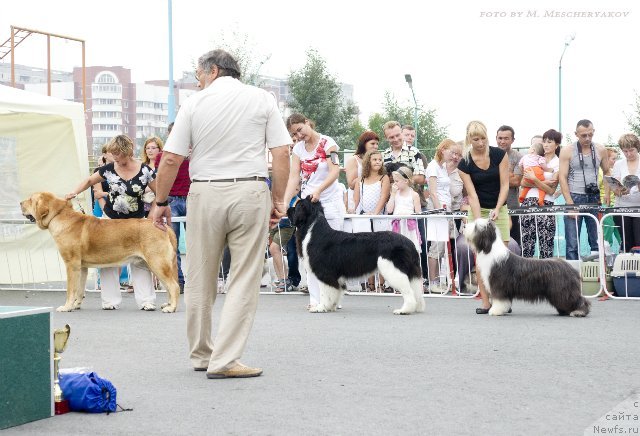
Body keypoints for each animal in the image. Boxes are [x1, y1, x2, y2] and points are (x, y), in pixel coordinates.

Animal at [20, 192, 180, 312]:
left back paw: (171, 308)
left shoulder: (71, 265)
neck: (58, 216)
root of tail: (164, 226)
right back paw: (167, 304)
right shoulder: (82, 267)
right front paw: (76, 305)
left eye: (30, 200)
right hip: (155, 265)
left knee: (174, 286)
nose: (20, 203)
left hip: (157, 263)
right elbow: (79, 290)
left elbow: (71, 289)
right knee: (168, 286)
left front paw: (66, 307)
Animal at [288, 199, 422, 316]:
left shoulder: (325, 273)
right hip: (409, 271)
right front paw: (332, 307)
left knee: (408, 291)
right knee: (415, 290)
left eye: (297, 207)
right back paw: (416, 307)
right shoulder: (336, 277)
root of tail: (409, 243)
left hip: (393, 269)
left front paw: (321, 307)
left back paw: (404, 310)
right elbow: (336, 292)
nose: (288, 209)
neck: (312, 230)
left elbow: (325, 292)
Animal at [462, 218, 592, 316]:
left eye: (476, 227)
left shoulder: (498, 285)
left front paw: (495, 311)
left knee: (578, 299)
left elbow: (499, 300)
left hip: (562, 290)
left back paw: (579, 311)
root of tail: (570, 267)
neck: (490, 249)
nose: (464, 227)